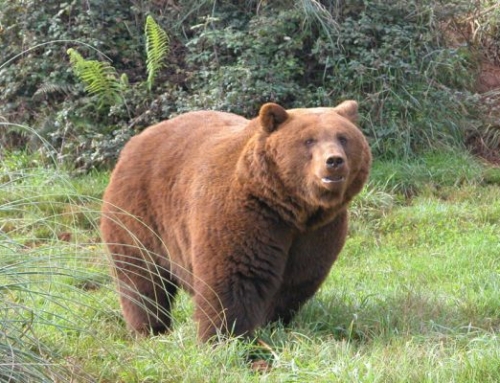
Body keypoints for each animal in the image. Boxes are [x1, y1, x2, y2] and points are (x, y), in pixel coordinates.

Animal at [99, 100, 372, 342]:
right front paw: (224, 337)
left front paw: (272, 323)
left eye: (343, 137)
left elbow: (299, 278)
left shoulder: (319, 230)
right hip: (139, 214)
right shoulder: (244, 214)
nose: (334, 161)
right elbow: (234, 276)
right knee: (141, 276)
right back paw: (150, 328)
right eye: (309, 140)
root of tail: (137, 139)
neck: (291, 207)